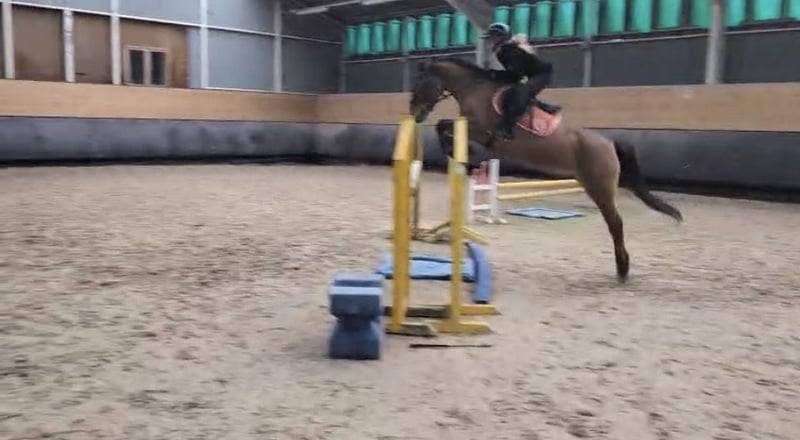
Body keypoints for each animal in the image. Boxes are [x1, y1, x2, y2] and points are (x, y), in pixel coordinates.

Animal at [409, 58, 683, 282]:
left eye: (420, 83)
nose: (415, 114)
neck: (474, 89)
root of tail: (609, 144)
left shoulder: (482, 129)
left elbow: (445, 126)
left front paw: (460, 154)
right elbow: (444, 127)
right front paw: (462, 156)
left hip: (600, 188)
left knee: (615, 223)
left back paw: (623, 269)